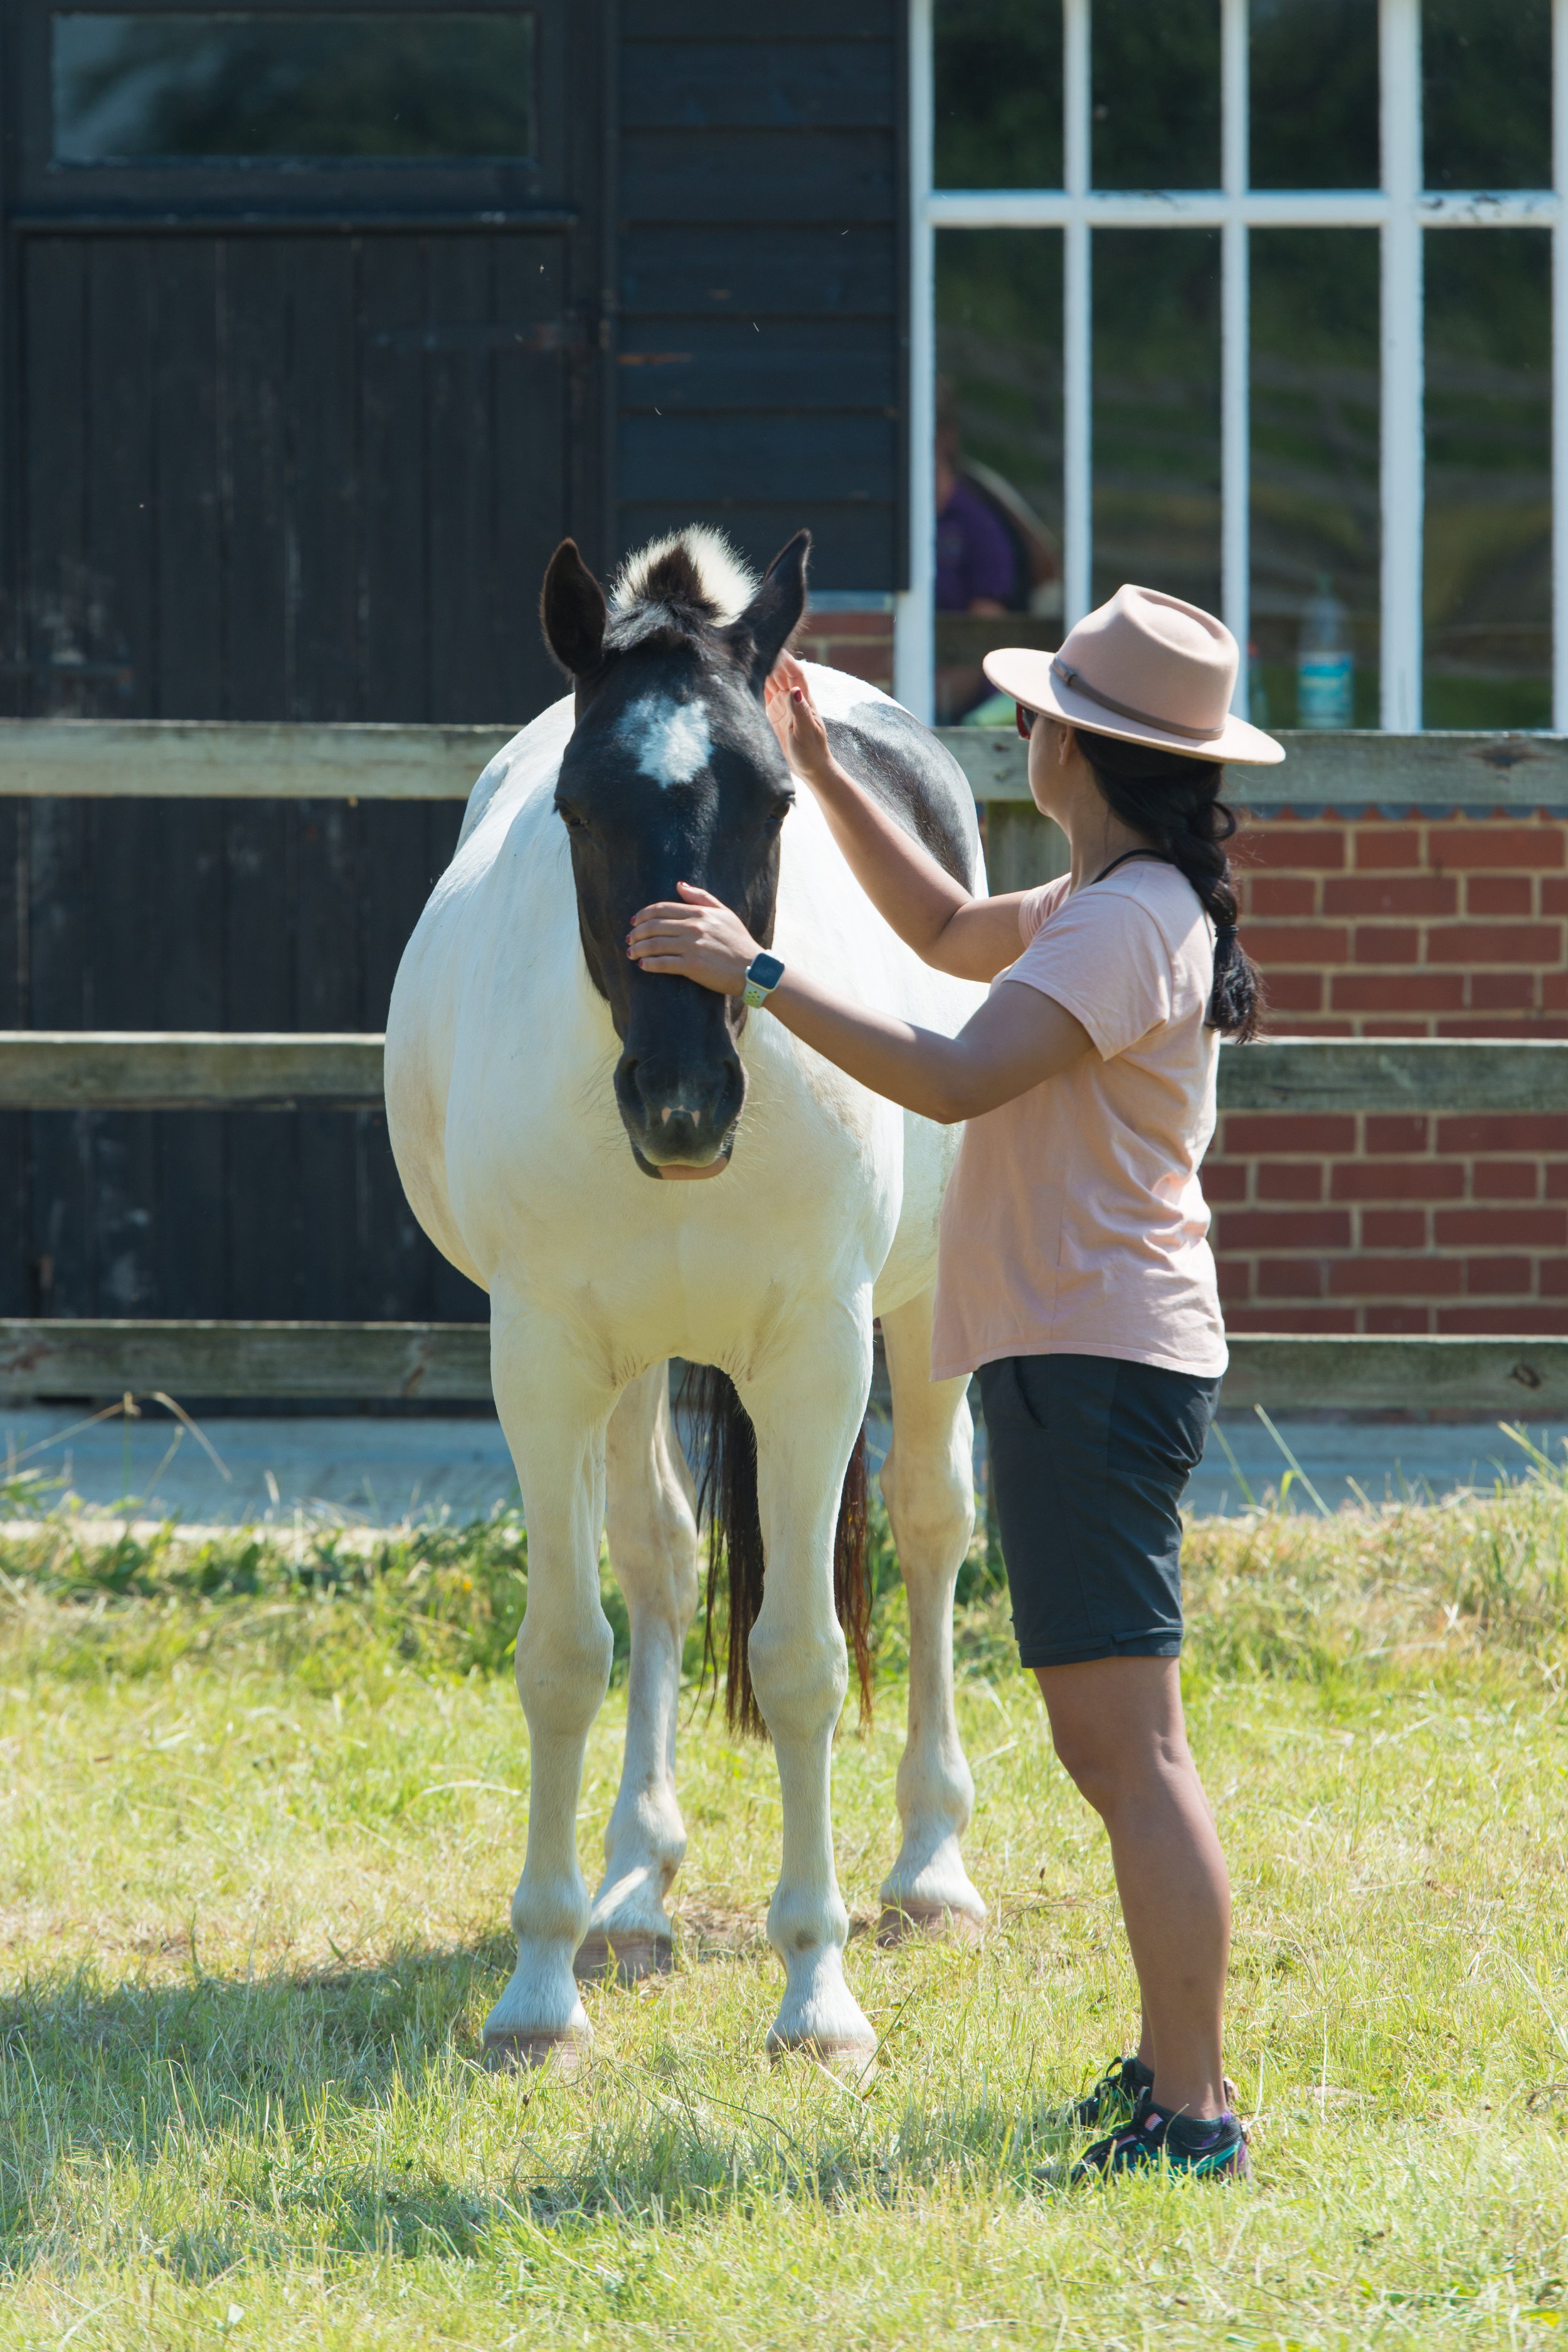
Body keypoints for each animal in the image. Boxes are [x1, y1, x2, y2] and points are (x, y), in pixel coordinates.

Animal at [385, 525, 988, 2068]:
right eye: (579, 808)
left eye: (775, 804)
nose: (682, 1105)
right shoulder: (546, 1359)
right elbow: (564, 1652)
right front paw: (540, 1990)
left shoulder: (818, 1363)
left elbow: (802, 1662)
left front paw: (817, 1997)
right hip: (634, 1360)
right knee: (658, 1559)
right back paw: (635, 1888)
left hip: (920, 1314)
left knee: (931, 1524)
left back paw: (928, 1870)